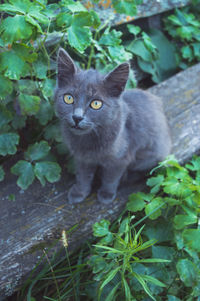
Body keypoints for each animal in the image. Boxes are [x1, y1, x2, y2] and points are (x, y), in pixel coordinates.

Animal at [54, 48, 170, 204]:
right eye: (68, 98)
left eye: (96, 104)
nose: (77, 117)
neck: (87, 140)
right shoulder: (82, 158)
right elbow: (83, 176)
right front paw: (79, 192)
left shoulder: (120, 159)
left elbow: (111, 177)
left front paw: (106, 194)